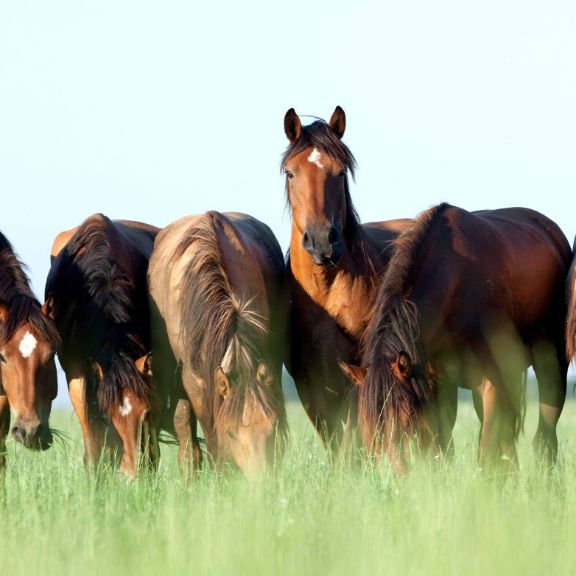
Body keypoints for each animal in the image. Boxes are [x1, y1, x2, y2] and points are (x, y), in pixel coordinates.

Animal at [342, 202, 572, 472]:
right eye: (370, 429)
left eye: (406, 420)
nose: (397, 478)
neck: (454, 287)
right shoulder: (436, 383)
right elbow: (444, 445)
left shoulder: (491, 381)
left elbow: (486, 449)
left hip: (551, 366)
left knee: (545, 435)